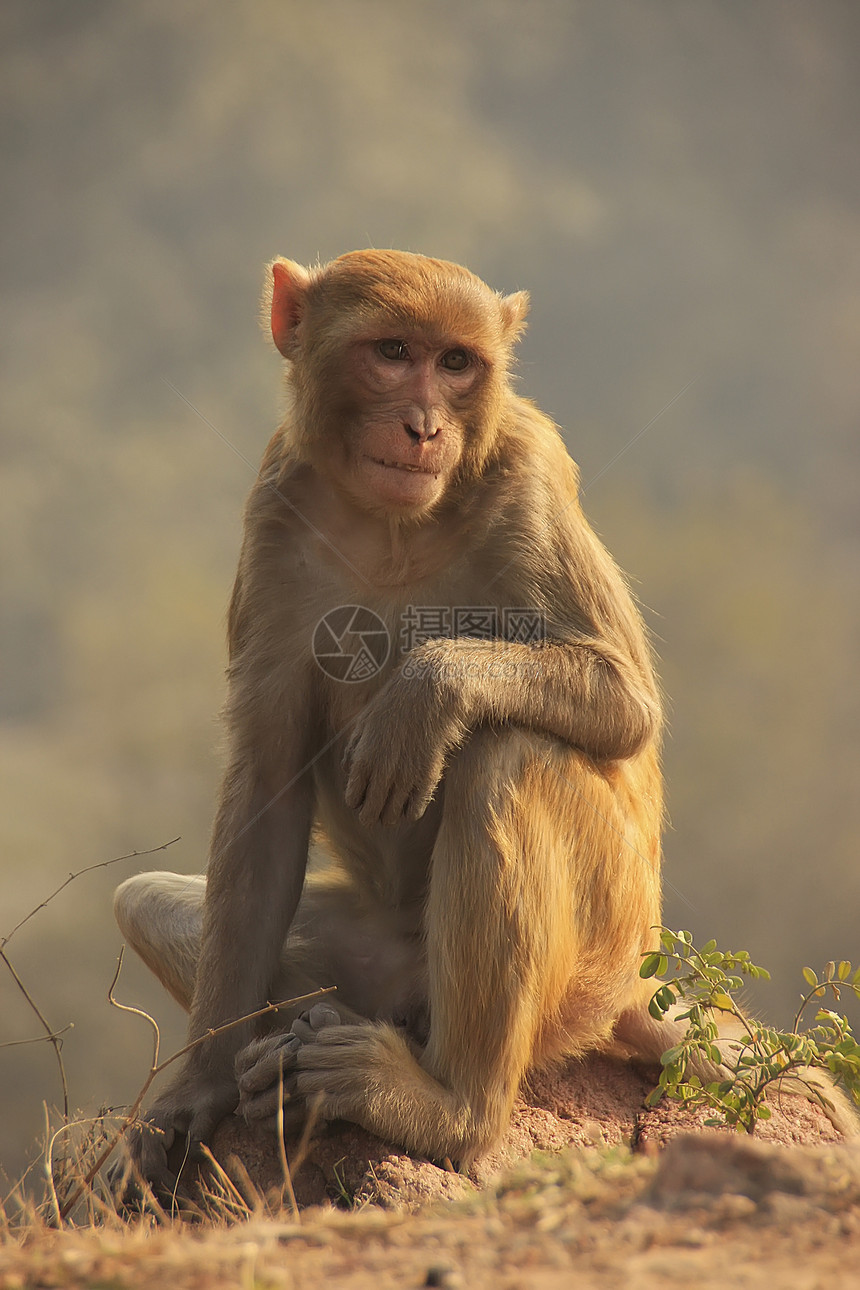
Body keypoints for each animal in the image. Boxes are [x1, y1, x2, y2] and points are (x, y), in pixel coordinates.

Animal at [112, 246, 665, 1191]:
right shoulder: (275, 506)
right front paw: (199, 1087)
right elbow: (266, 785)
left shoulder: (528, 474)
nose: (423, 428)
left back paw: (445, 1109)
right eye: (394, 351)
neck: (394, 523)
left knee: (507, 753)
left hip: (596, 963)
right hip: (374, 962)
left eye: (457, 363)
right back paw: (299, 1057)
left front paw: (424, 694)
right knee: (145, 900)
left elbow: (625, 703)